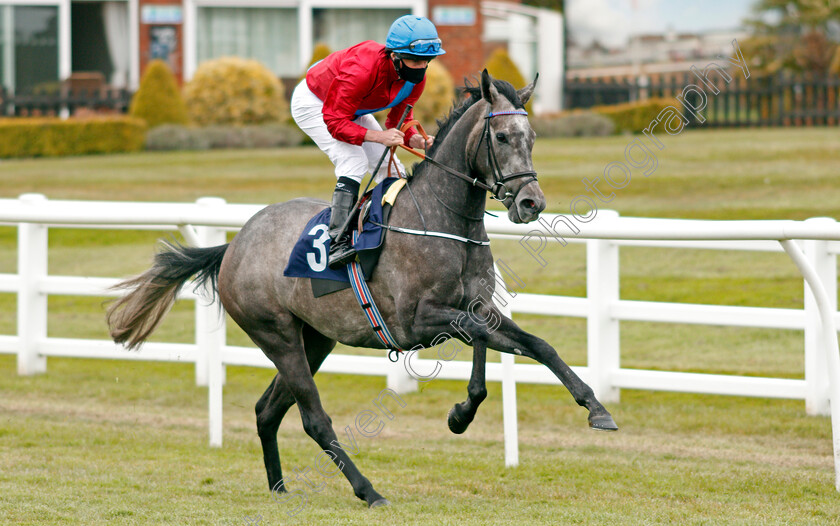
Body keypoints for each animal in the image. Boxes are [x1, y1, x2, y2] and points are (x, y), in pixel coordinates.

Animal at [106, 70, 616, 512]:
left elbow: (531, 345)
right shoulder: (417, 322)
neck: (443, 220)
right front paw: (464, 412)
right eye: (502, 137)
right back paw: (368, 490)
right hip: (277, 335)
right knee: (314, 419)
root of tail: (234, 244)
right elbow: (483, 337)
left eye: (532, 138)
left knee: (267, 410)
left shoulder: (476, 305)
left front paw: (591, 408)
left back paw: (279, 488)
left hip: (315, 338)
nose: (532, 203)